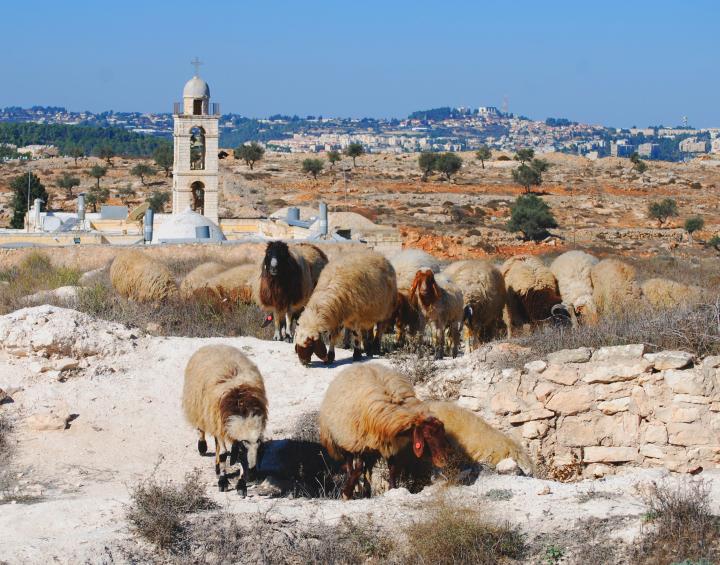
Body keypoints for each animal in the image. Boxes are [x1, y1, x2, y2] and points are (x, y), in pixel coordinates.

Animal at [181, 344, 268, 494]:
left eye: (259, 449)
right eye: (241, 451)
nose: (252, 477)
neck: (242, 409)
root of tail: (215, 345)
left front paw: (241, 485)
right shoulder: (220, 426)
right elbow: (223, 454)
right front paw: (223, 481)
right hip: (201, 407)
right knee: (201, 429)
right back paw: (202, 447)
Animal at [318, 362, 448, 498]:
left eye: (442, 433)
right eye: (427, 435)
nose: (443, 460)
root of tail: (355, 365)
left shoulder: (389, 443)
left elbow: (392, 467)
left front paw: (393, 489)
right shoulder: (360, 444)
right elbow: (357, 468)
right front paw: (346, 493)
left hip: (370, 449)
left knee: (367, 469)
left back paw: (366, 491)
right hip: (346, 441)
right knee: (350, 466)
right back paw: (356, 489)